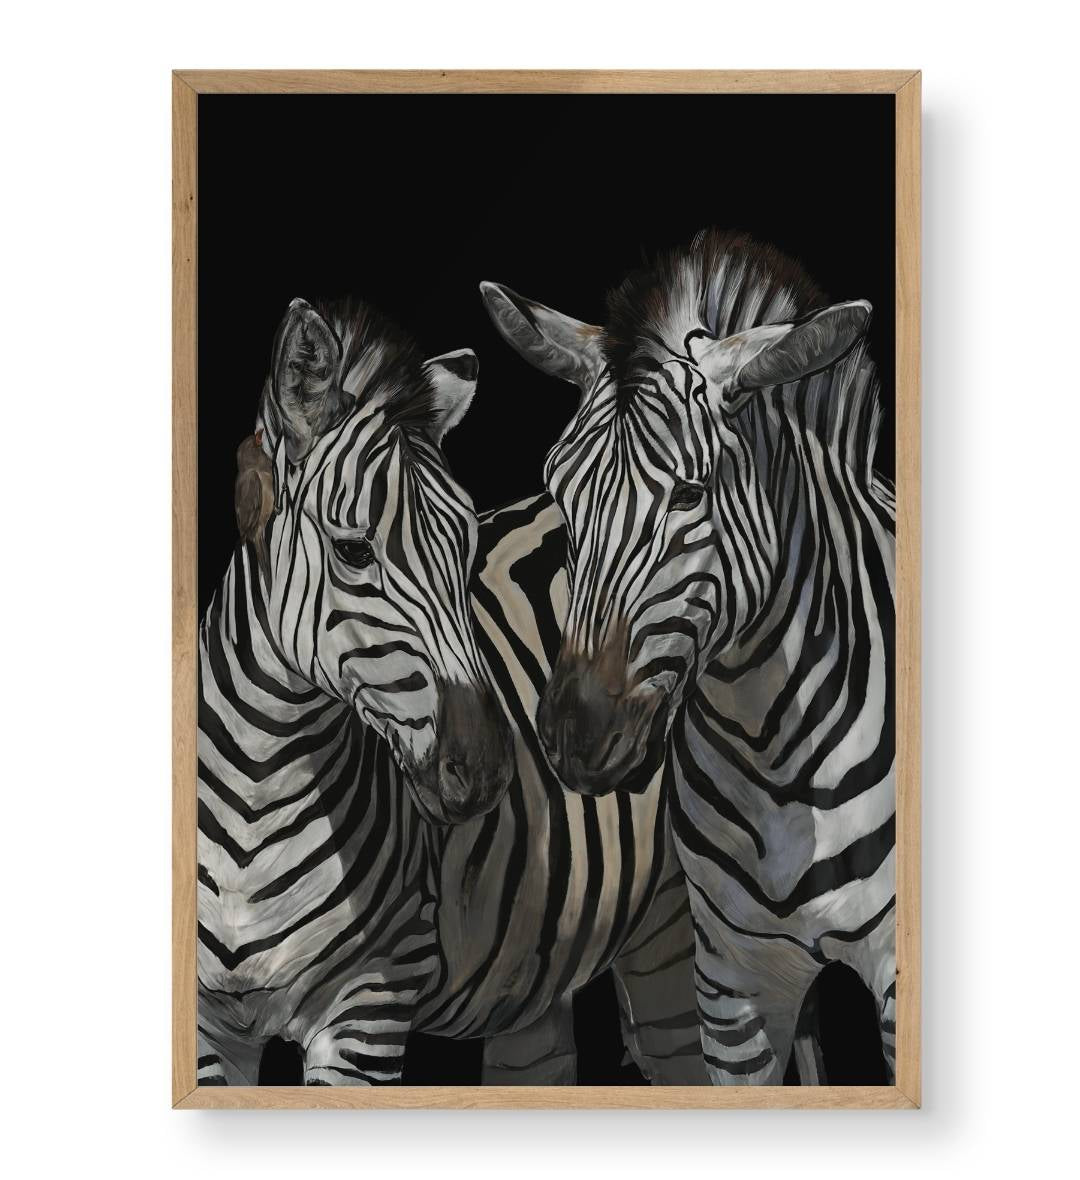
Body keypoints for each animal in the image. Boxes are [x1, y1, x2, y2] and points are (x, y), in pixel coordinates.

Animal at [198, 294, 706, 1086]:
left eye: (468, 549)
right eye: (353, 551)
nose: (488, 769)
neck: (258, 796)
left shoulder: (371, 999)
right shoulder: (205, 1023)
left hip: (679, 926)